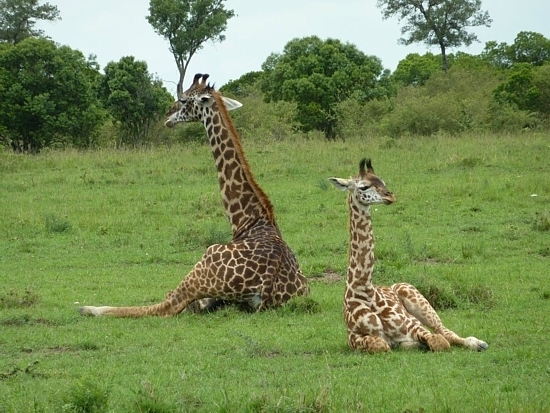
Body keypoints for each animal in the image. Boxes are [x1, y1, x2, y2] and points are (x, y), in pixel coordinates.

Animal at [80, 74, 310, 318]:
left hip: (204, 264)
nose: (167, 117)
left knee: (167, 305)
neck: (249, 219)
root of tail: (266, 290)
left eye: (183, 100)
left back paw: (90, 308)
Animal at [330, 158, 490, 350]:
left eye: (383, 181)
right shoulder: (354, 337)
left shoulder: (412, 325)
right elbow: (381, 345)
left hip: (416, 299)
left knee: (445, 332)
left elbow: (440, 341)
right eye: (364, 186)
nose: (390, 196)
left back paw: (479, 343)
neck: (364, 290)